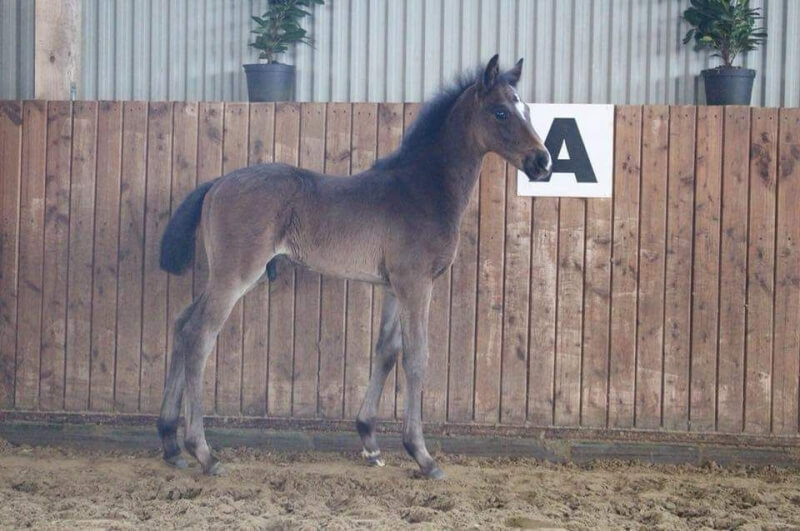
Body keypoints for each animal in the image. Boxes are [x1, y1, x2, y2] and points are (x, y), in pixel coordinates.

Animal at [156, 55, 552, 479]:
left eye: (526, 109)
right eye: (500, 112)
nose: (542, 161)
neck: (422, 190)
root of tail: (215, 185)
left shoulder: (394, 287)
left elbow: (387, 351)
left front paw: (370, 442)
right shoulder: (417, 284)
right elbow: (417, 357)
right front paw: (422, 455)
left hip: (227, 275)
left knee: (181, 323)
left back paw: (170, 443)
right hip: (235, 275)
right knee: (199, 334)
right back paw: (203, 452)